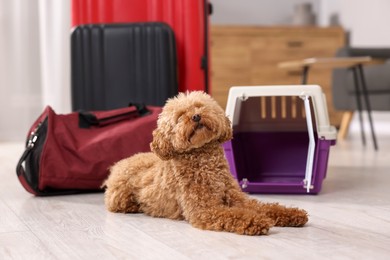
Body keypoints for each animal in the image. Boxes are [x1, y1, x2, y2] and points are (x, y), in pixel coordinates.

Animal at [103, 91, 308, 236]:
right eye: (180, 116)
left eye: (199, 107)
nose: (196, 116)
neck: (204, 160)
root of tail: (119, 164)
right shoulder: (204, 209)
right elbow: (233, 214)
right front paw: (256, 221)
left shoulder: (237, 199)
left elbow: (264, 207)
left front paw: (292, 214)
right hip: (120, 197)